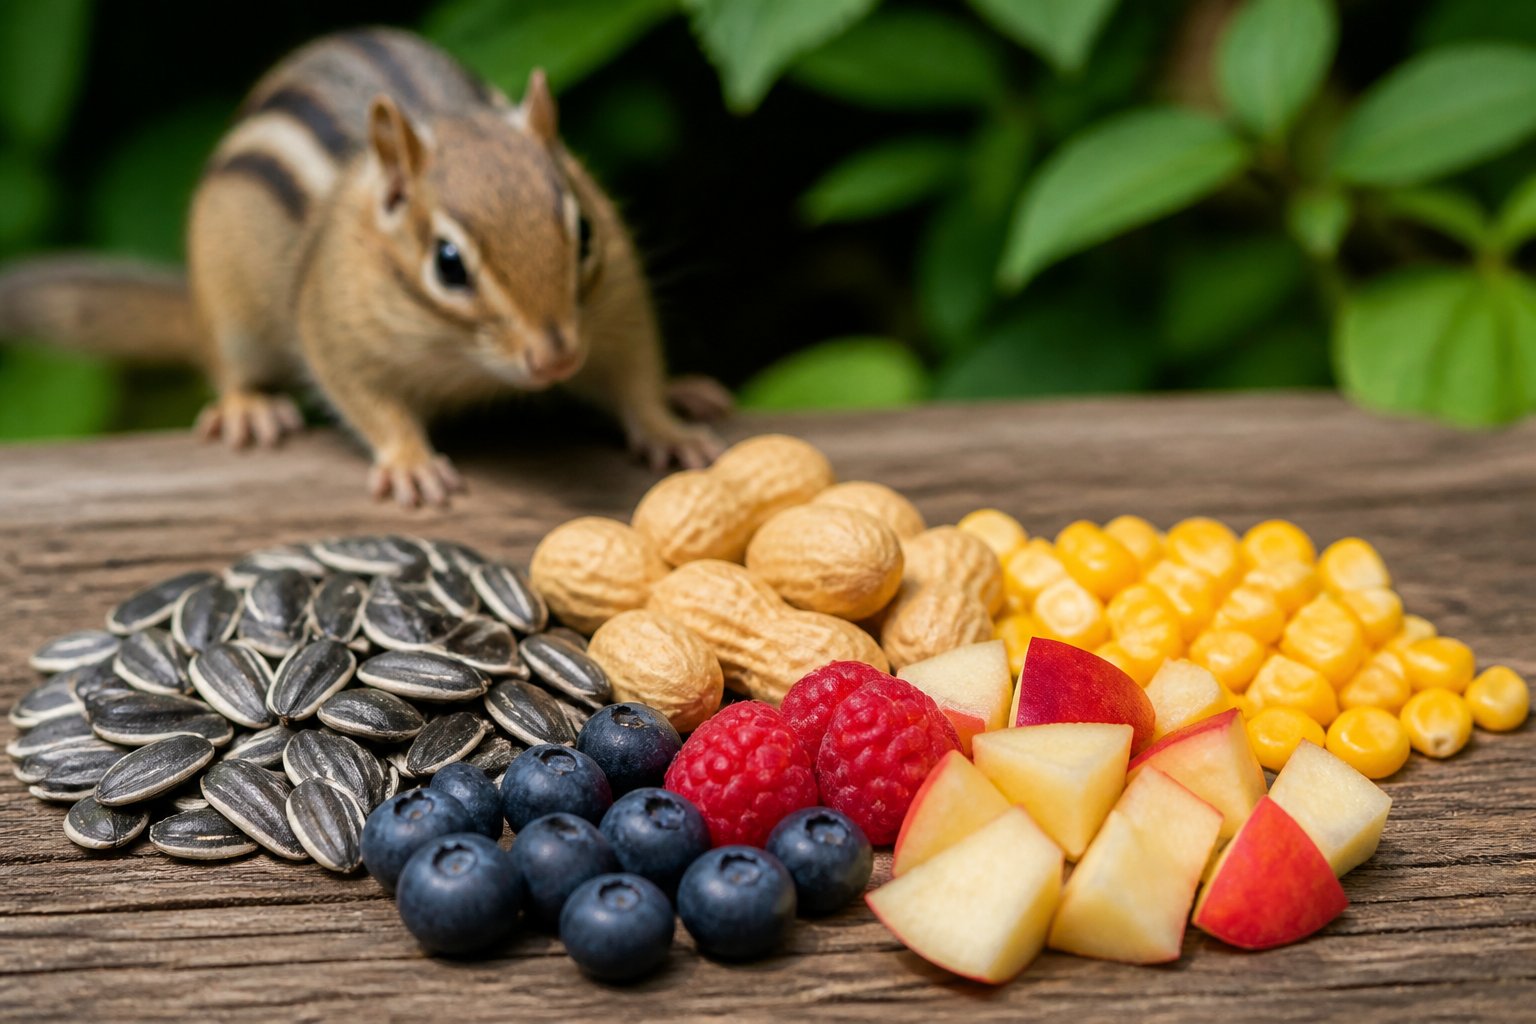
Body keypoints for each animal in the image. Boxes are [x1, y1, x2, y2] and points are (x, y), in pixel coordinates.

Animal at [0, 27, 730, 506]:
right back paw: (247, 408)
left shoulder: (617, 304)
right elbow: (366, 400)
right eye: (448, 264)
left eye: (582, 233)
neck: (462, 359)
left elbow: (635, 373)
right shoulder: (336, 330)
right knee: (228, 364)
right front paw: (410, 461)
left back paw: (689, 391)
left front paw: (669, 429)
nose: (556, 360)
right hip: (230, 314)